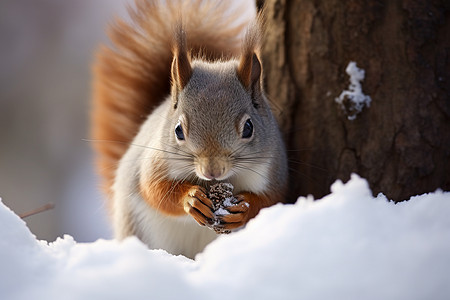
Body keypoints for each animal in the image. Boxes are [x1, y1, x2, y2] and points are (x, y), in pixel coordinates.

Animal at [91, 0, 288, 258]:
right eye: (178, 131)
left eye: (248, 128)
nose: (212, 171)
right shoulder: (155, 162)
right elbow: (154, 190)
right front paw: (191, 200)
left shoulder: (273, 170)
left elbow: (270, 200)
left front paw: (244, 208)